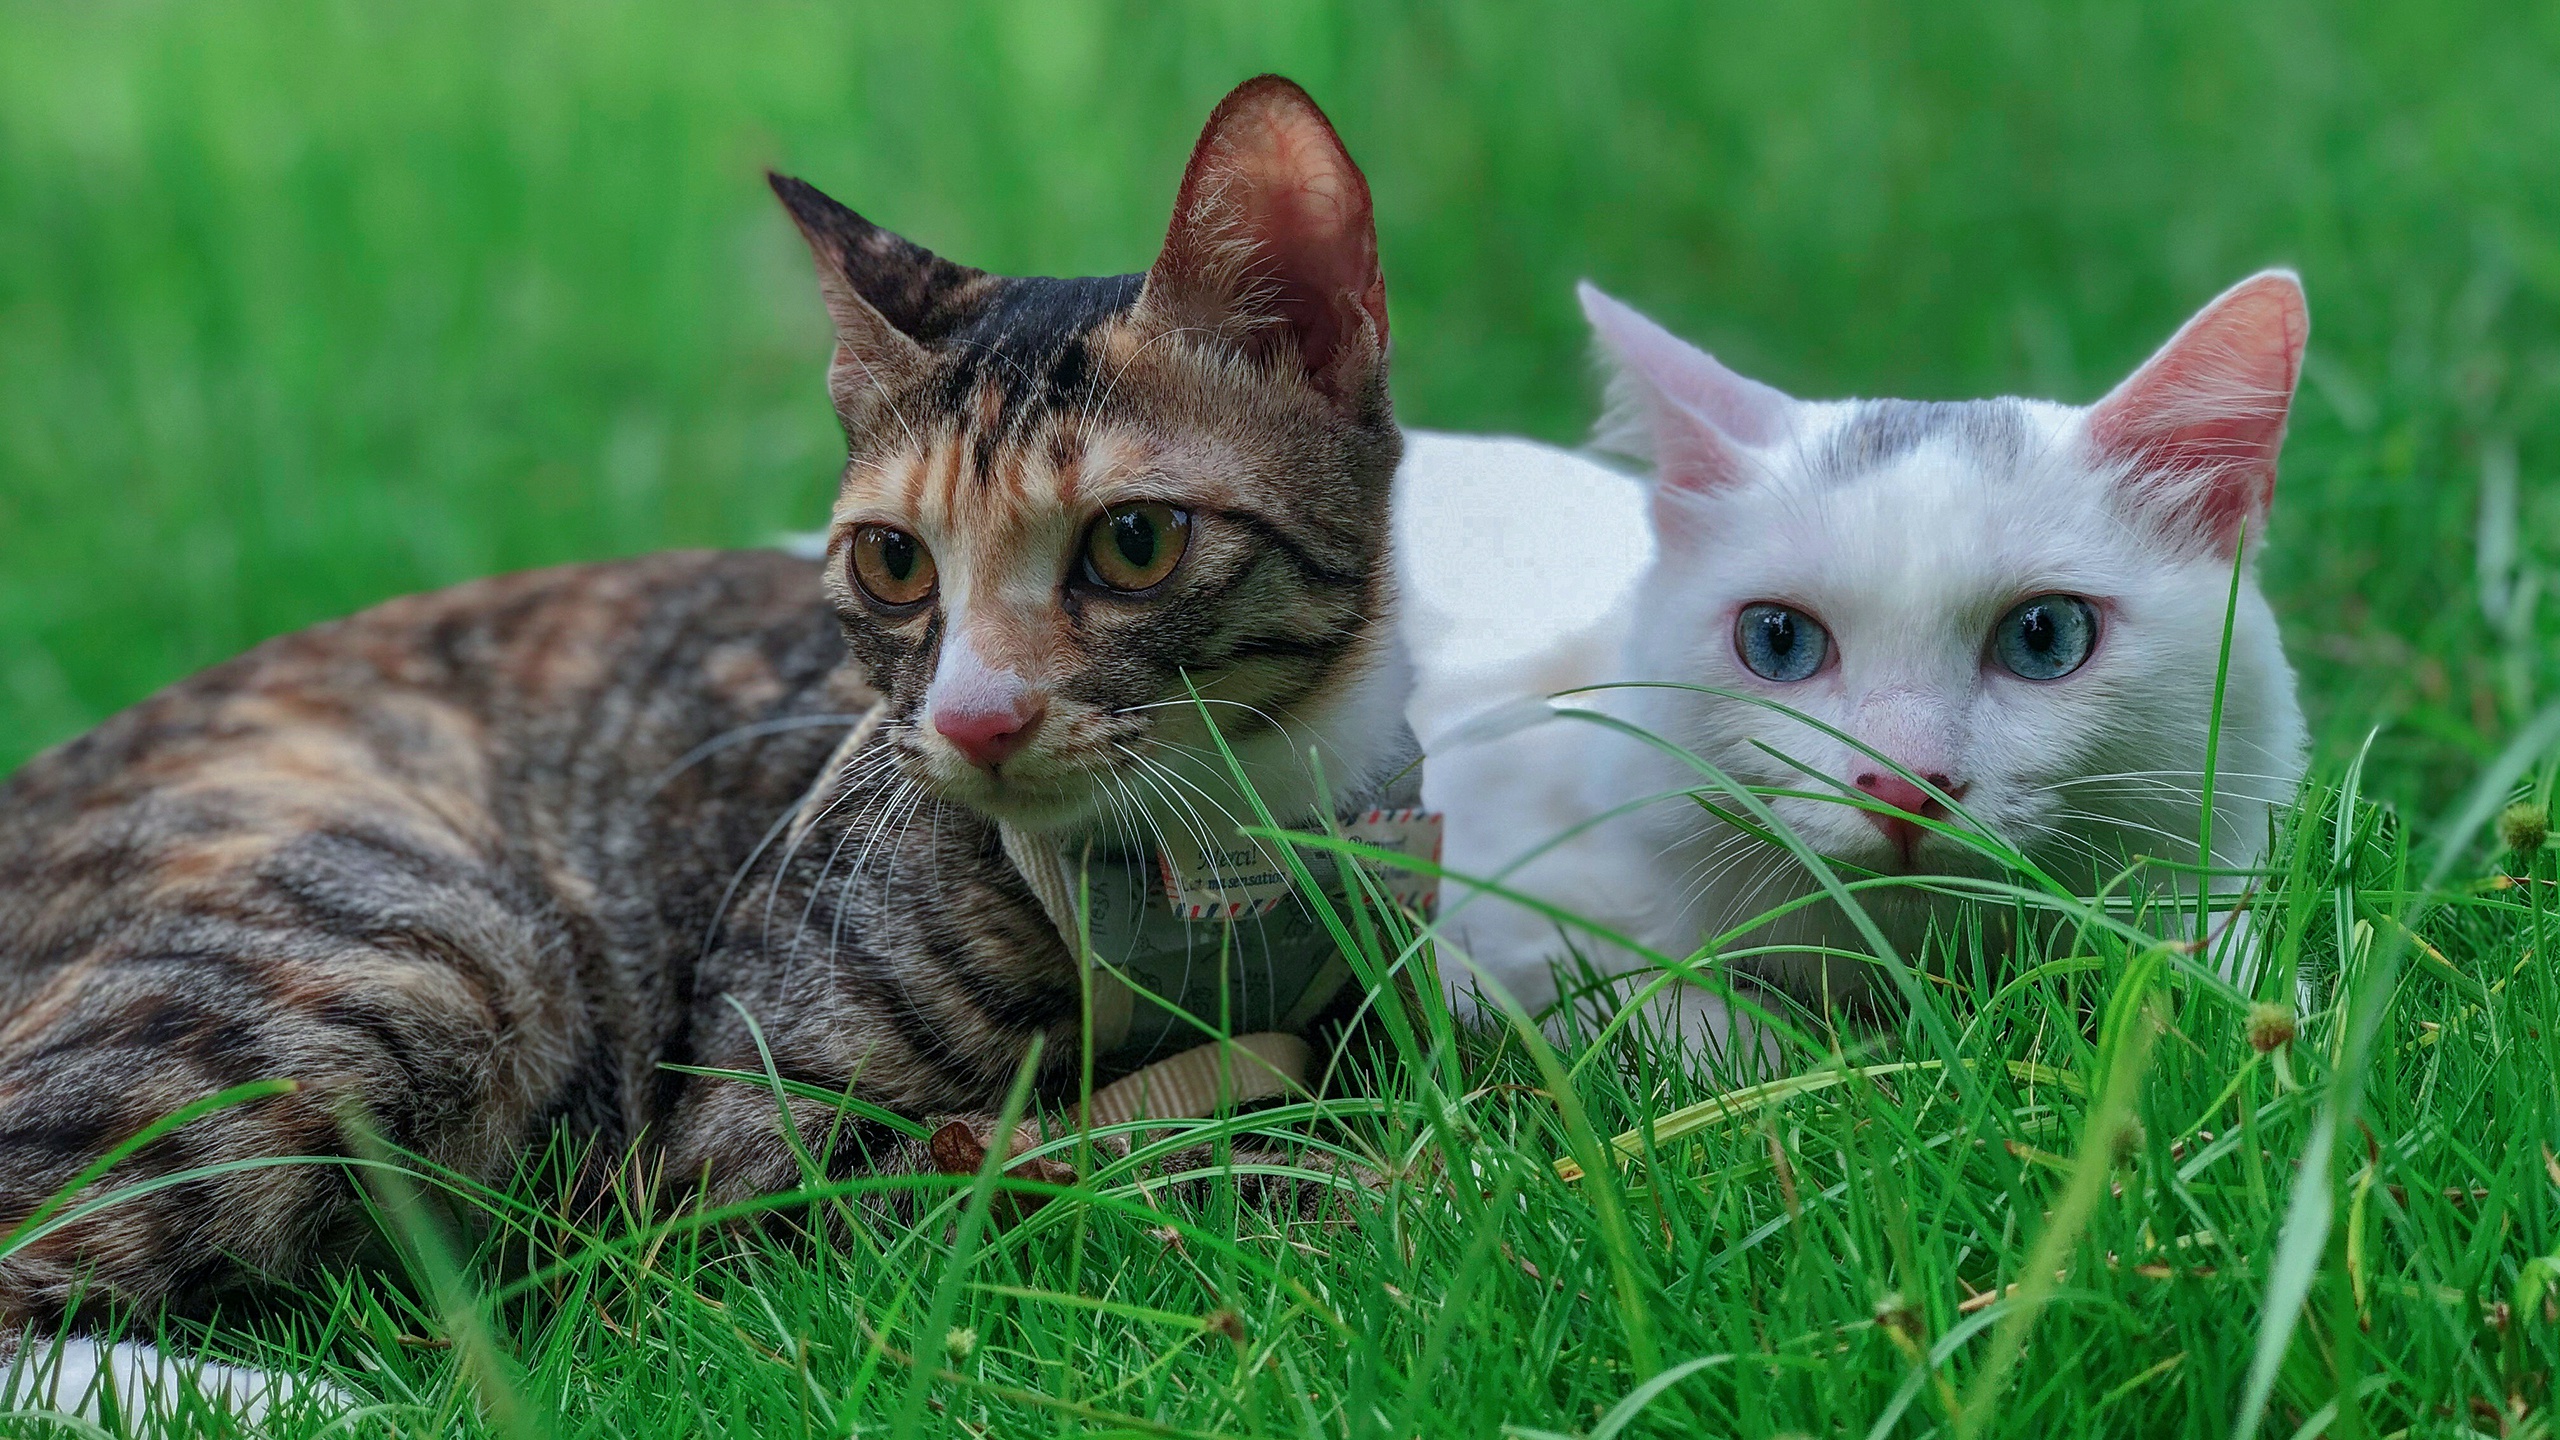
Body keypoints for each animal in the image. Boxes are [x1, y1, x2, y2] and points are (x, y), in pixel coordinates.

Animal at [0, 73, 1402, 1322]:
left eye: (1134, 543)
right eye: (895, 562)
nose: (972, 719)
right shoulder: (736, 1165)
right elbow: (1083, 1169)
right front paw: (1341, 1190)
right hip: (415, 951)